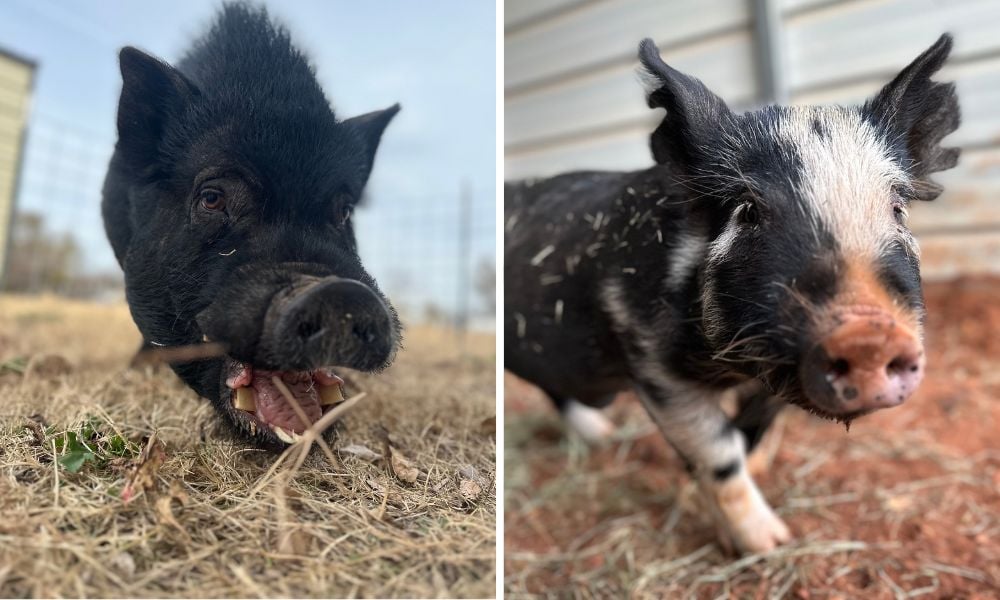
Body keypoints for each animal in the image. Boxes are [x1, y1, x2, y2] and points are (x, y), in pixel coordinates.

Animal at [504, 35, 959, 553]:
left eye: (898, 208)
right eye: (747, 211)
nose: (869, 333)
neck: (734, 369)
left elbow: (757, 425)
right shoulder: (651, 362)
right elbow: (719, 453)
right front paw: (772, 544)